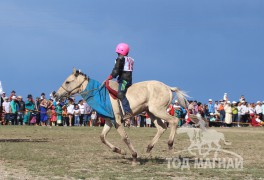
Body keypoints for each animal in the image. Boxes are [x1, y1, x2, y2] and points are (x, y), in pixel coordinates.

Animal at [54, 68, 198, 165]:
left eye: (67, 82)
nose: (55, 94)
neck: (101, 95)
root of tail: (168, 87)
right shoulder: (109, 121)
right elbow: (102, 137)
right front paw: (120, 151)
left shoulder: (117, 121)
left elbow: (124, 137)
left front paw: (133, 156)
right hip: (152, 113)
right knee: (161, 127)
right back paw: (149, 148)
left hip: (157, 110)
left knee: (174, 121)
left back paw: (170, 145)